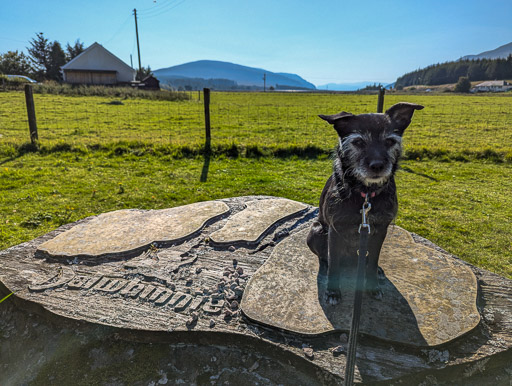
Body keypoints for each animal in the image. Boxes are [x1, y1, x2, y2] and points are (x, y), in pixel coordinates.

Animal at [308, 102, 424, 304]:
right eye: (358, 142)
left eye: (390, 141)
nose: (377, 165)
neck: (366, 194)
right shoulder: (335, 230)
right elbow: (334, 263)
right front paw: (333, 291)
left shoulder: (380, 230)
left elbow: (374, 258)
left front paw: (372, 284)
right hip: (316, 231)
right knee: (325, 257)